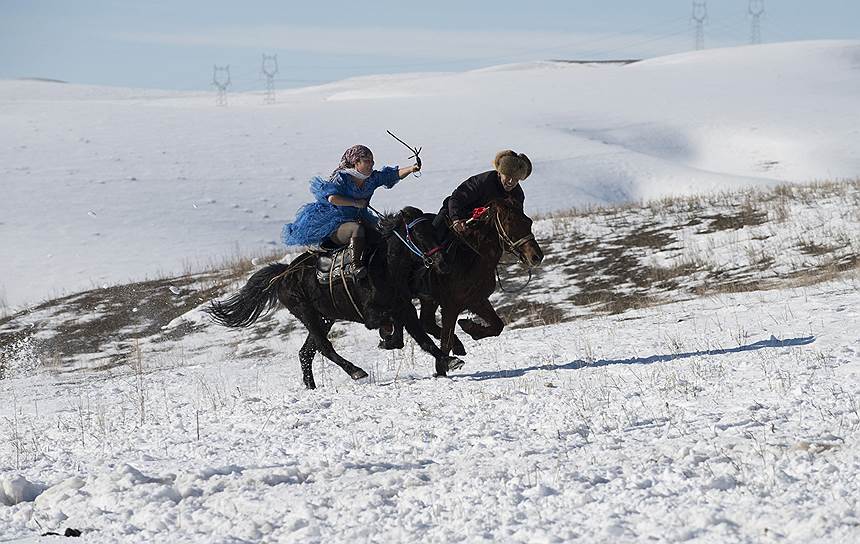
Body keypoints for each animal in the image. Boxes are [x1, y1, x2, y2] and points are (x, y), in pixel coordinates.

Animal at [206, 206, 464, 388]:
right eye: (417, 234)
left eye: (436, 231)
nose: (443, 263)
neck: (386, 267)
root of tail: (283, 273)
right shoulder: (373, 315)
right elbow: (395, 328)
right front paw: (388, 340)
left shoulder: (405, 309)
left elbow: (422, 339)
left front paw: (450, 359)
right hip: (306, 313)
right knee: (323, 347)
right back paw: (356, 371)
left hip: (324, 318)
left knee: (306, 352)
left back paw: (311, 386)